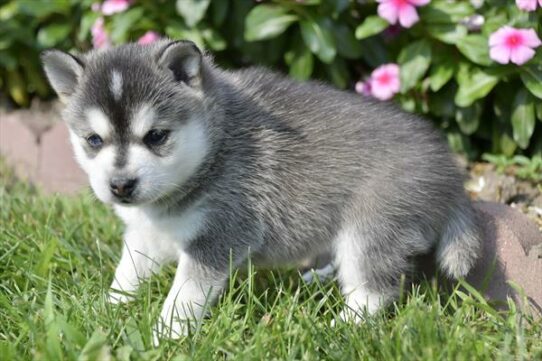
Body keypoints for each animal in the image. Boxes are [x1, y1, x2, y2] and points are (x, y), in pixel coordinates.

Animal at [43, 39, 484, 340]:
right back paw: (318, 278)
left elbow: (184, 296)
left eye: (155, 136)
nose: (120, 185)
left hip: (372, 226)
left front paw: (165, 335)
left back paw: (337, 327)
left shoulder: (221, 236)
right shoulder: (146, 233)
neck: (215, 147)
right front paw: (110, 309)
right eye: (93, 140)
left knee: (376, 290)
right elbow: (127, 272)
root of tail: (451, 173)